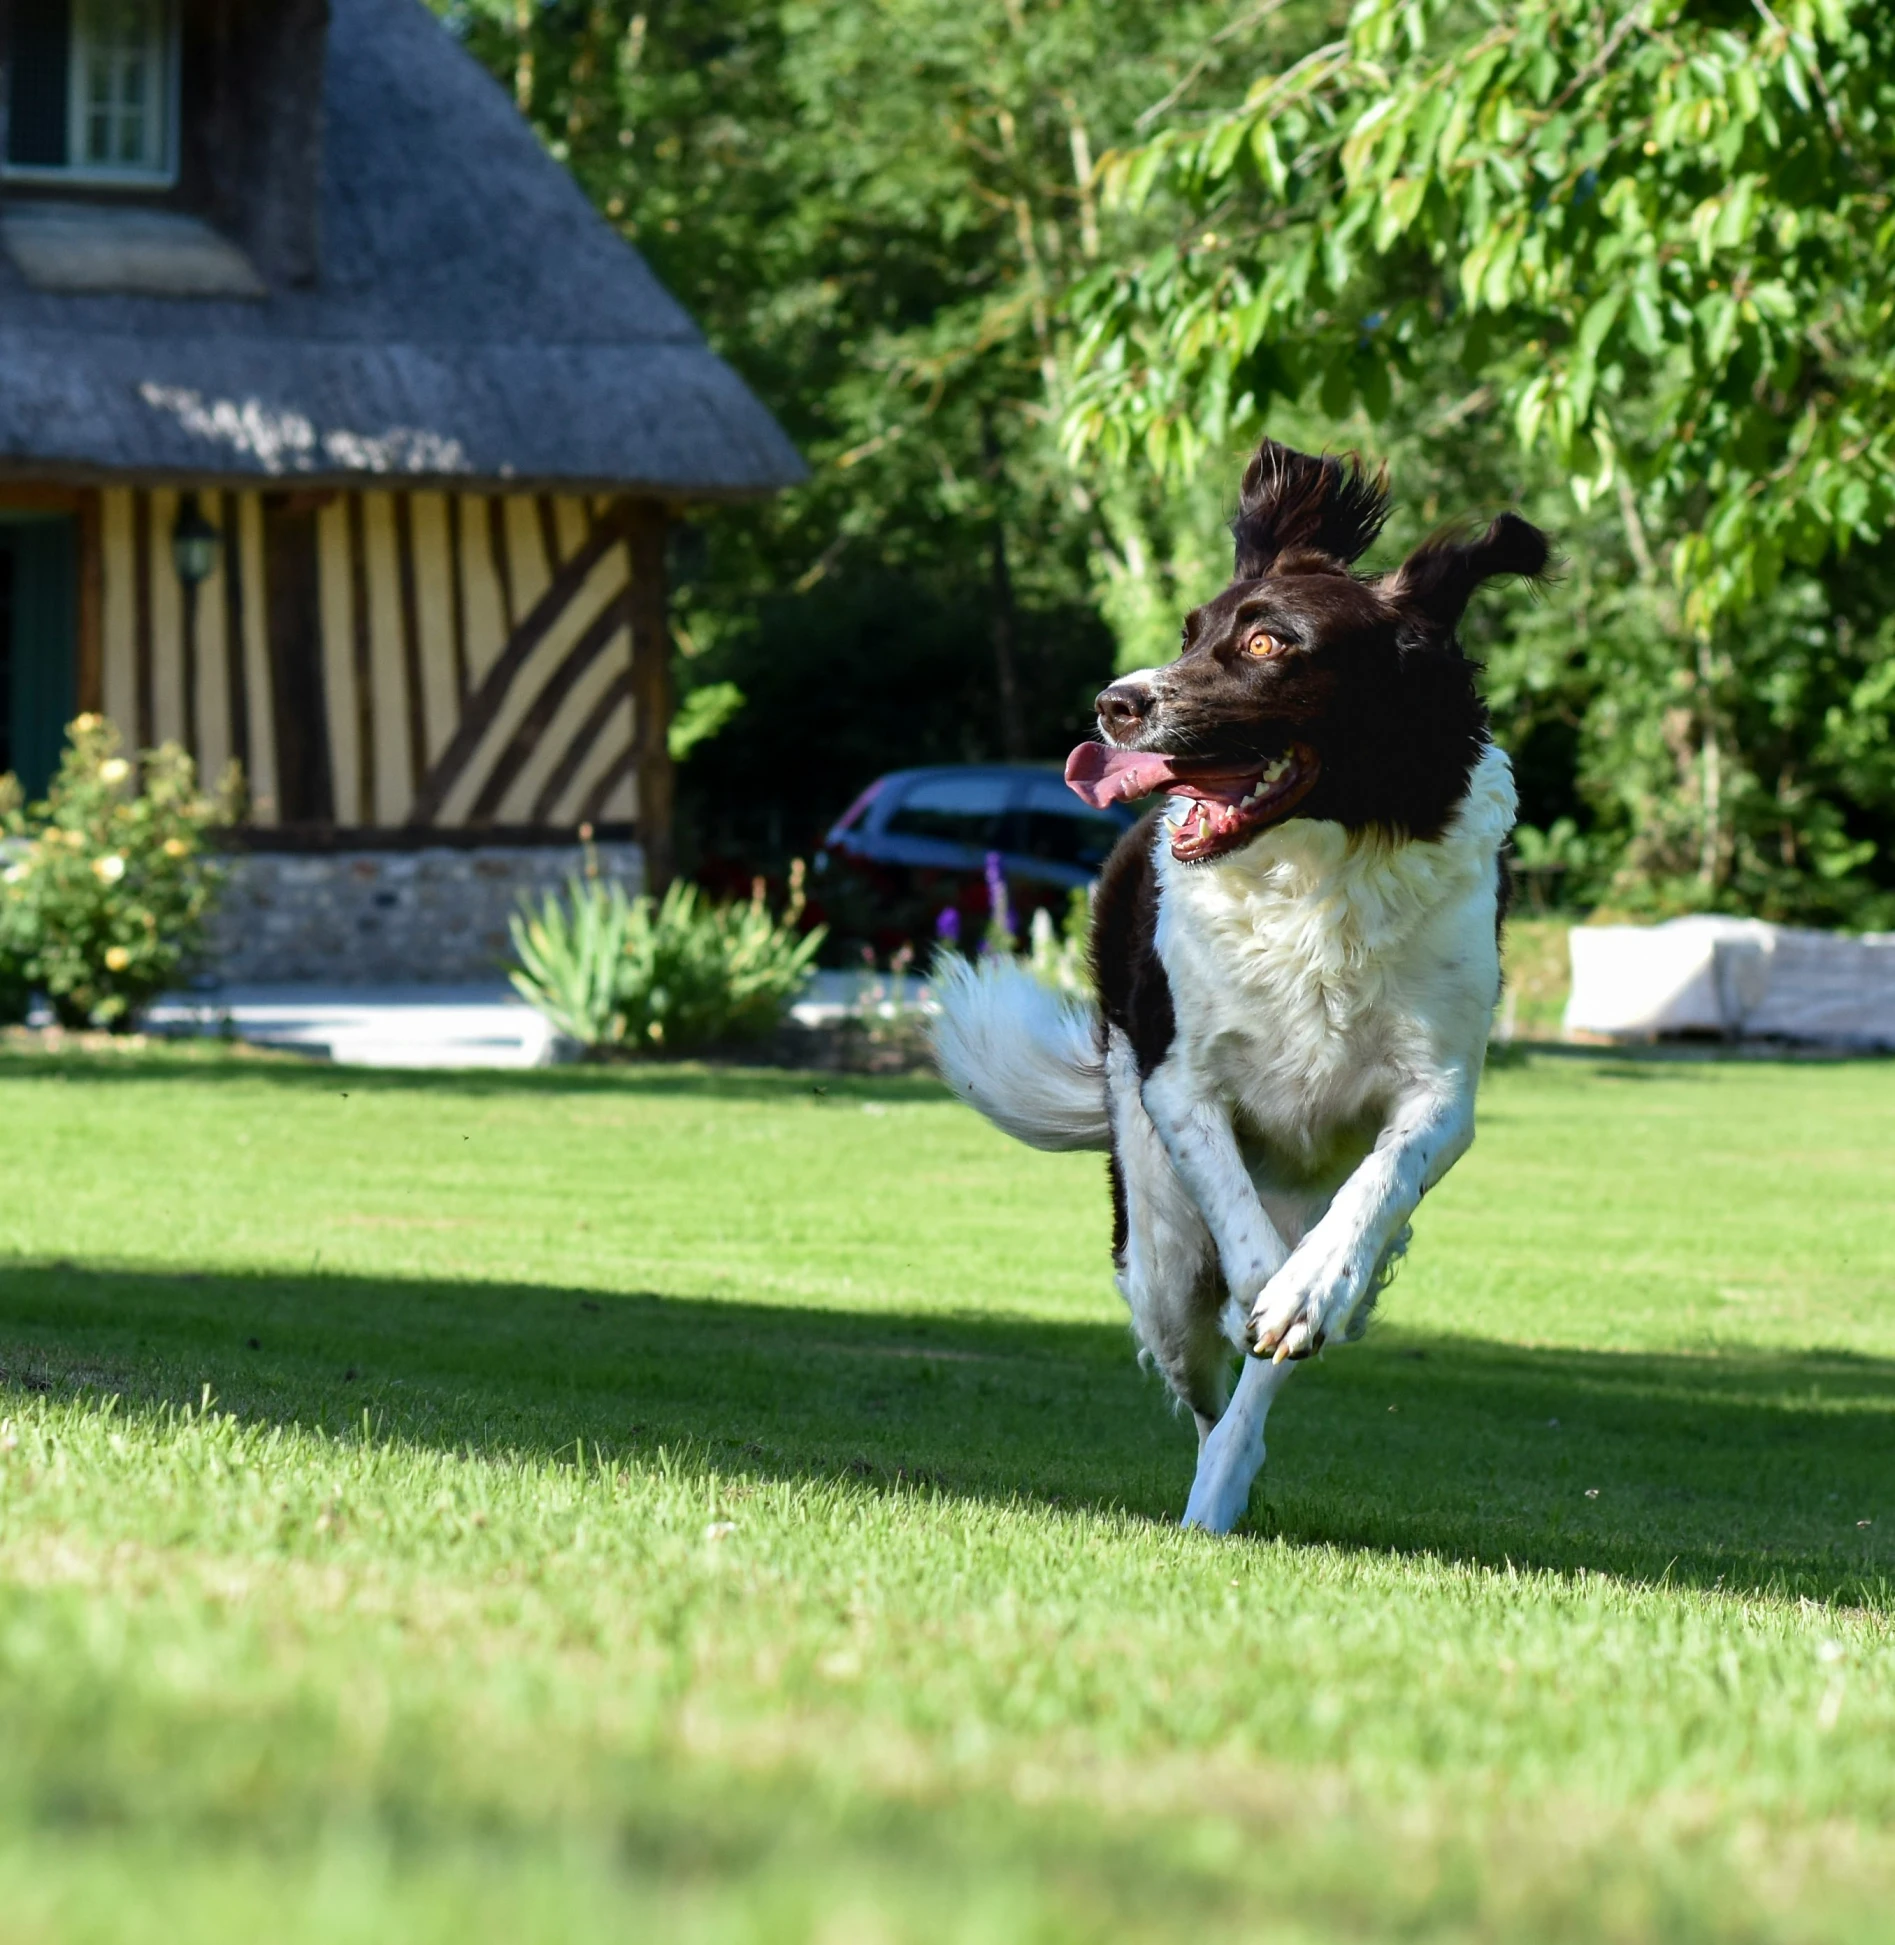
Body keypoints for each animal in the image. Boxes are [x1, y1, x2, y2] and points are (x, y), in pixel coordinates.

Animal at [937, 437, 1556, 1532]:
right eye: (1192, 631)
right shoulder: (1179, 1084)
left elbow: (1373, 1189)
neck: (1321, 871)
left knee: (1251, 1384)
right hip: (1152, 1252)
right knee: (1200, 1367)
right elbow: (1240, 1240)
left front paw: (1313, 1293)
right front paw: (1268, 1291)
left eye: (1270, 642)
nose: (1115, 702)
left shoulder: (1440, 1094)